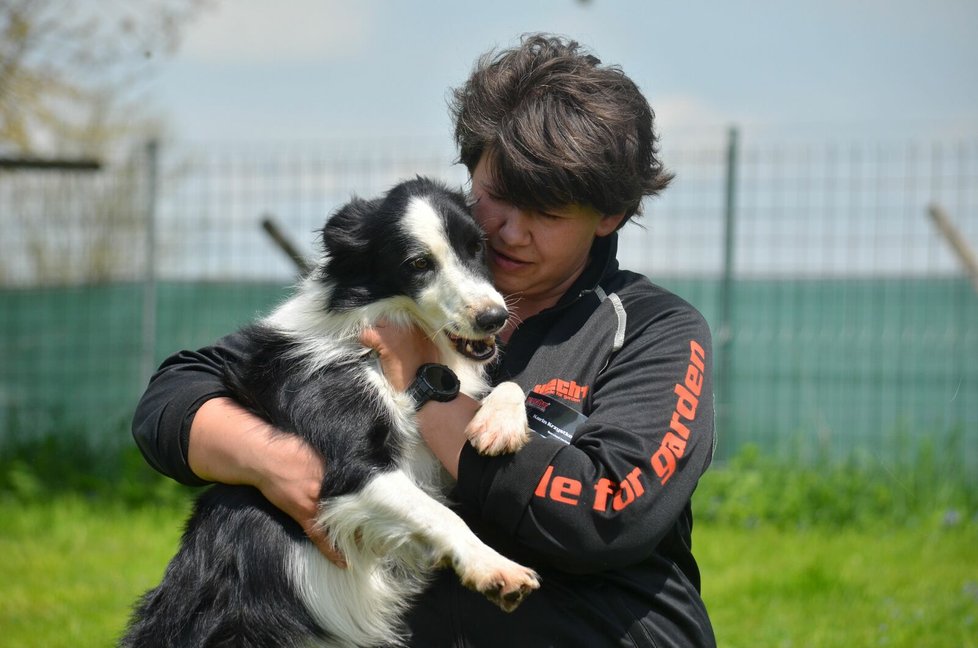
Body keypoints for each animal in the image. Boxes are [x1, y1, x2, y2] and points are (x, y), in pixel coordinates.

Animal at [120, 178, 540, 648]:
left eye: (476, 247)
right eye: (418, 264)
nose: (494, 318)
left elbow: (508, 386)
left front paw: (498, 424)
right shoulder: (349, 469)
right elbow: (440, 513)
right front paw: (496, 569)